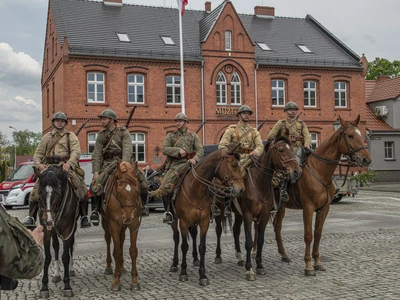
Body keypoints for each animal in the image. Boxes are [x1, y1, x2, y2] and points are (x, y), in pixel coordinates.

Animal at [33, 165, 79, 298]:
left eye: (57, 192)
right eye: (40, 192)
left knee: (70, 247)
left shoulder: (68, 230)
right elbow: (48, 257)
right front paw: (44, 287)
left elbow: (65, 257)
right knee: (56, 246)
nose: (48, 220)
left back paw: (71, 269)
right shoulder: (46, 232)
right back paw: (57, 274)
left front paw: (67, 286)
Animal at [101, 162, 141, 290]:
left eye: (137, 190)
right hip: (106, 223)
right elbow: (116, 252)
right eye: (119, 190)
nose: (127, 217)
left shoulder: (134, 224)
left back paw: (122, 267)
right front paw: (116, 281)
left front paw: (134, 281)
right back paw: (109, 267)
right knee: (108, 240)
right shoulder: (114, 225)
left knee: (122, 239)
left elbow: (133, 251)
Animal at [168, 148, 244, 286]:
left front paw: (202, 275)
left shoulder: (204, 222)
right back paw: (175, 264)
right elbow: (184, 246)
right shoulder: (183, 222)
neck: (195, 189)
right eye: (234, 165)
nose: (241, 190)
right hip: (174, 220)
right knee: (176, 238)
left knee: (193, 234)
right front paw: (183, 272)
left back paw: (195, 259)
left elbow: (202, 247)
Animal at [272, 115, 372, 276]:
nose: (366, 159)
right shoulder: (308, 208)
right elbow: (308, 235)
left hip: (281, 206)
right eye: (350, 135)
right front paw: (308, 266)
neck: (319, 171)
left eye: (360, 134)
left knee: (277, 226)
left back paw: (284, 255)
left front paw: (318, 262)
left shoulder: (324, 209)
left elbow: (318, 234)